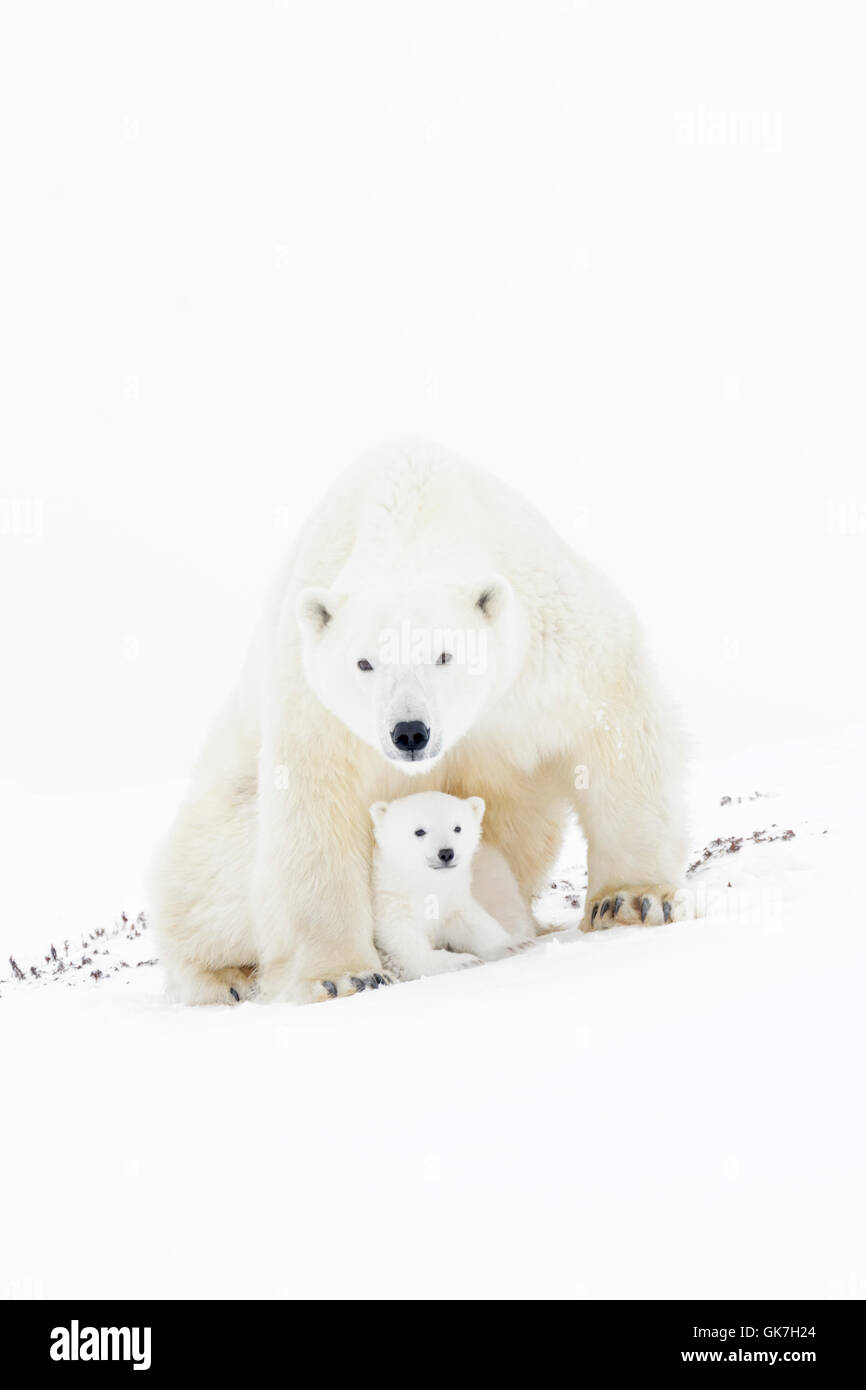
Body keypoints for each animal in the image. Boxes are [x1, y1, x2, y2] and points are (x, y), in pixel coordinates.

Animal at [369, 795, 528, 978]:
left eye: (457, 828)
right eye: (419, 831)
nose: (446, 853)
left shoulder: (452, 898)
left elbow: (472, 922)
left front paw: (514, 944)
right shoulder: (391, 900)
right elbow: (403, 939)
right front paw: (461, 961)